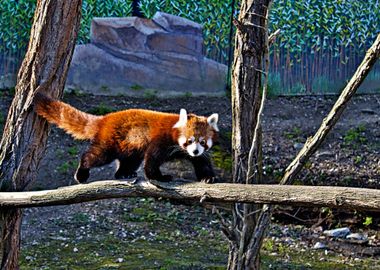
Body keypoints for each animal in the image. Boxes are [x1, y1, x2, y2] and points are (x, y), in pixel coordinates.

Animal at [35, 93, 220, 184]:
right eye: (189, 140)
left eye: (202, 142)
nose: (194, 151)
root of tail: (105, 118)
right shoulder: (161, 140)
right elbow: (152, 159)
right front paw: (158, 177)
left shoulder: (198, 154)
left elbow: (202, 162)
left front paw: (208, 177)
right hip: (109, 141)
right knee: (95, 156)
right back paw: (82, 173)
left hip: (130, 145)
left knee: (129, 160)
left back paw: (124, 174)